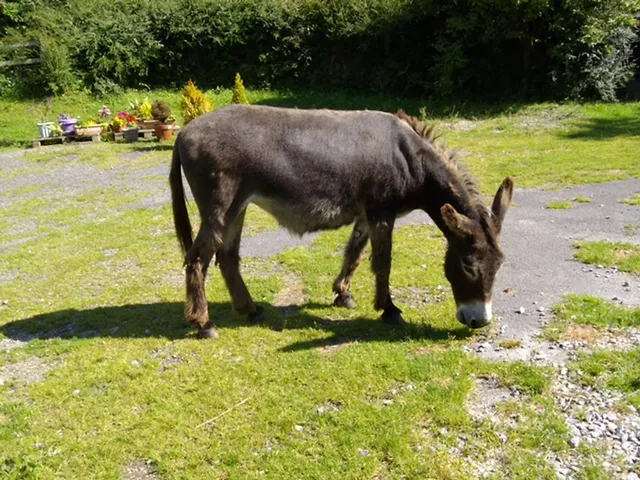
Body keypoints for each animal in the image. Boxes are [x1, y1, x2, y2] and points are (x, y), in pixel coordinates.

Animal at [169, 105, 514, 338]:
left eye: (499, 264)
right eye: (468, 264)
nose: (479, 321)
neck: (410, 159)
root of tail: (184, 132)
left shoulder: (366, 215)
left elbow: (354, 254)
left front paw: (343, 294)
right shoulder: (381, 214)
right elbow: (383, 263)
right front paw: (389, 310)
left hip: (237, 208)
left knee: (227, 258)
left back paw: (249, 310)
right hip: (220, 207)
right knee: (197, 259)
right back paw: (204, 324)